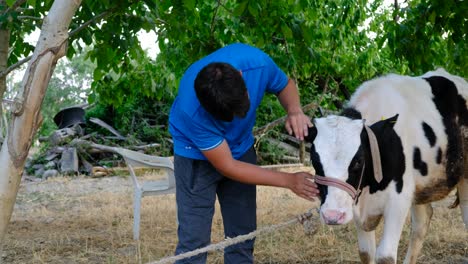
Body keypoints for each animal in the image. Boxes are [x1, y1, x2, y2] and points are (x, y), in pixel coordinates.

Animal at [308, 68, 468, 264]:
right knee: (421, 223)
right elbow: (365, 252)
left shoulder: (398, 199)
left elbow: (385, 256)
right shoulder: (357, 203)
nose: (333, 215)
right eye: (314, 159)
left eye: (359, 160)